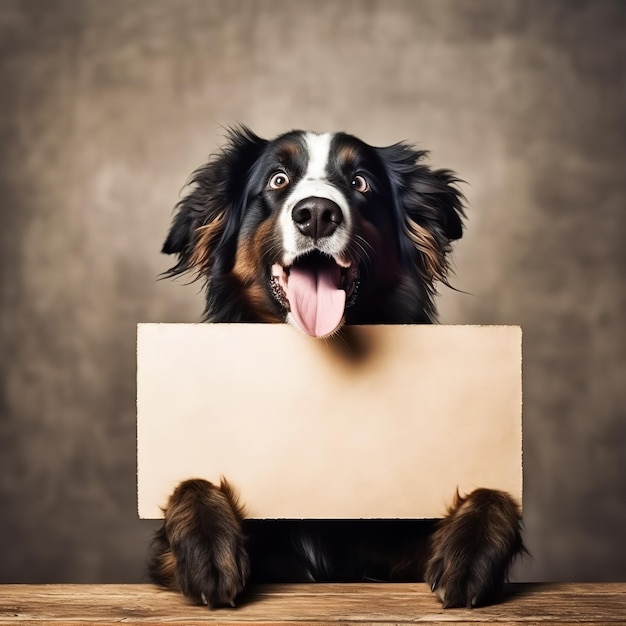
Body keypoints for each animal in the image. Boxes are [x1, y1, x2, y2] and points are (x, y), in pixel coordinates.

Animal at [147, 128, 520, 608]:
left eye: (360, 183)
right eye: (278, 179)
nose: (317, 215)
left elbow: (493, 492)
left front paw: (470, 554)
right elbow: (191, 482)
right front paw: (207, 549)